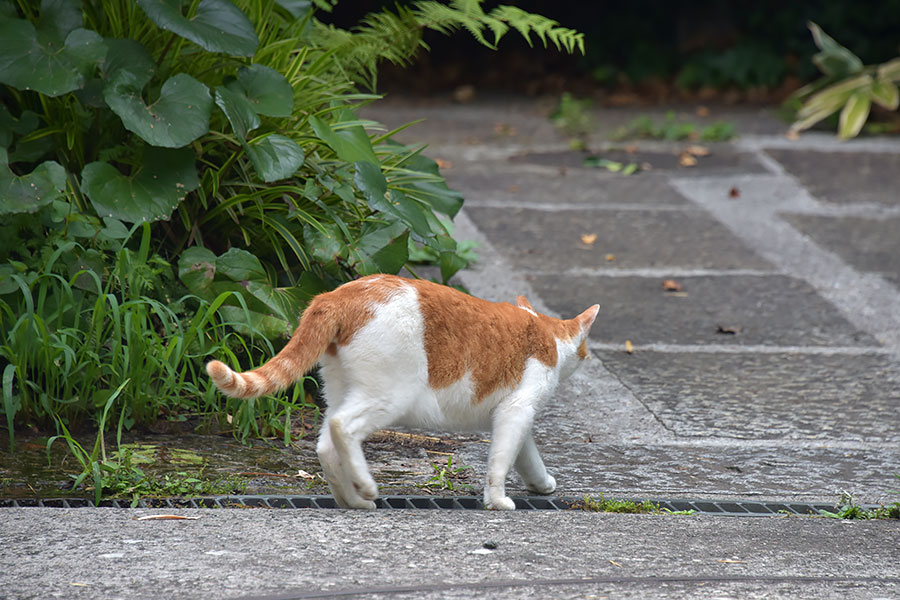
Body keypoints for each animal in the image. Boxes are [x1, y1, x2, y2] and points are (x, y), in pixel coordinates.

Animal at [207, 274, 596, 508]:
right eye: (584, 349)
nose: (587, 356)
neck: (546, 333)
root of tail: (337, 295)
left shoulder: (511, 415)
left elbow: (525, 455)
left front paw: (541, 483)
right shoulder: (516, 409)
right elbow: (500, 461)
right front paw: (498, 500)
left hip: (341, 389)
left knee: (325, 444)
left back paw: (353, 500)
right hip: (391, 395)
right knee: (342, 427)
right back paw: (366, 487)